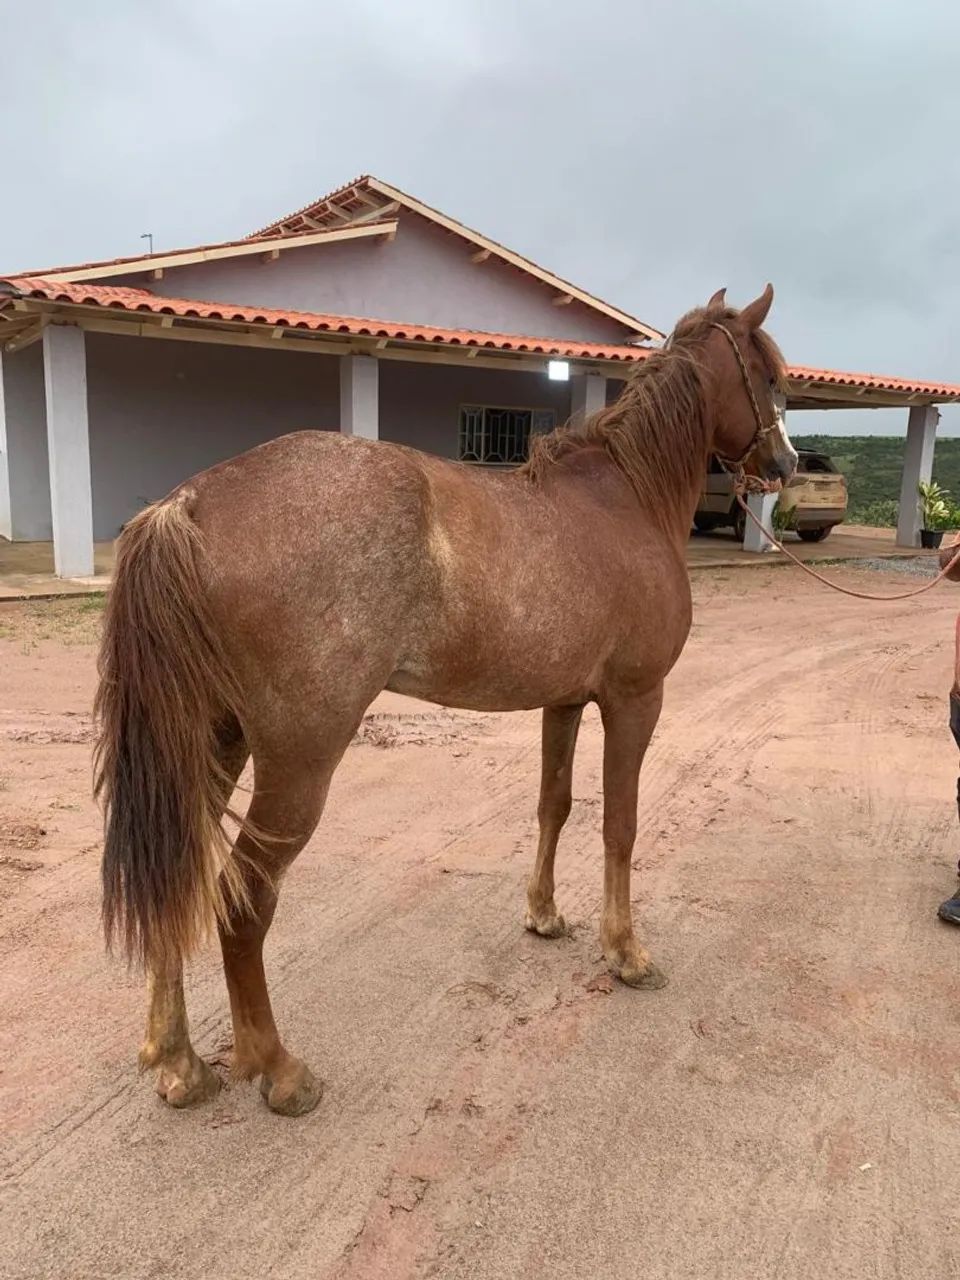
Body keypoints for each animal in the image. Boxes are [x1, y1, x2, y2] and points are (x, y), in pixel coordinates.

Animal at [94, 285, 797, 1117]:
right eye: (772, 376)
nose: (784, 465)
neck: (624, 500)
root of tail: (191, 504)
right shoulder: (635, 699)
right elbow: (620, 825)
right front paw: (627, 953)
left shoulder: (565, 701)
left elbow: (555, 805)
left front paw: (544, 914)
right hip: (297, 762)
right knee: (242, 901)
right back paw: (281, 1070)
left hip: (211, 741)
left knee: (177, 877)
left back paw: (179, 1063)